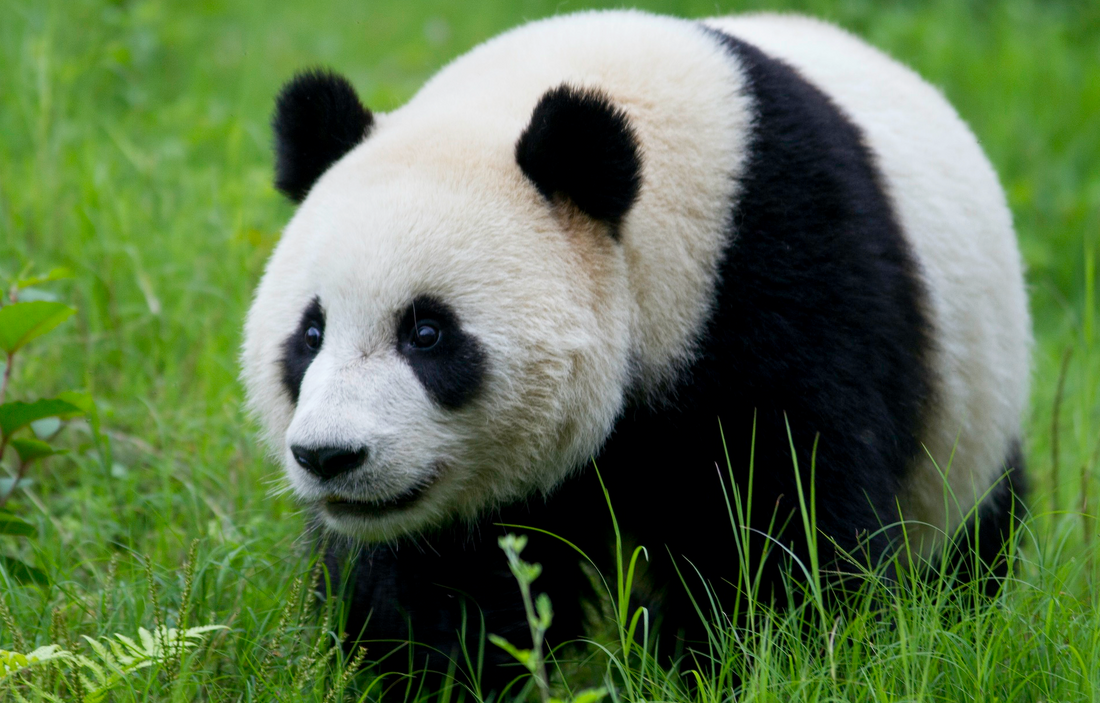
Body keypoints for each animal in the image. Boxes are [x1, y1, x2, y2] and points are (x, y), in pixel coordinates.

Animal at [242, 8, 1030, 690]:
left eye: (428, 333)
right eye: (310, 334)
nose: (330, 456)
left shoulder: (786, 281)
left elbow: (781, 521)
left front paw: (740, 666)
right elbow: (441, 578)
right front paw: (427, 674)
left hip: (969, 423)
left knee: (974, 540)